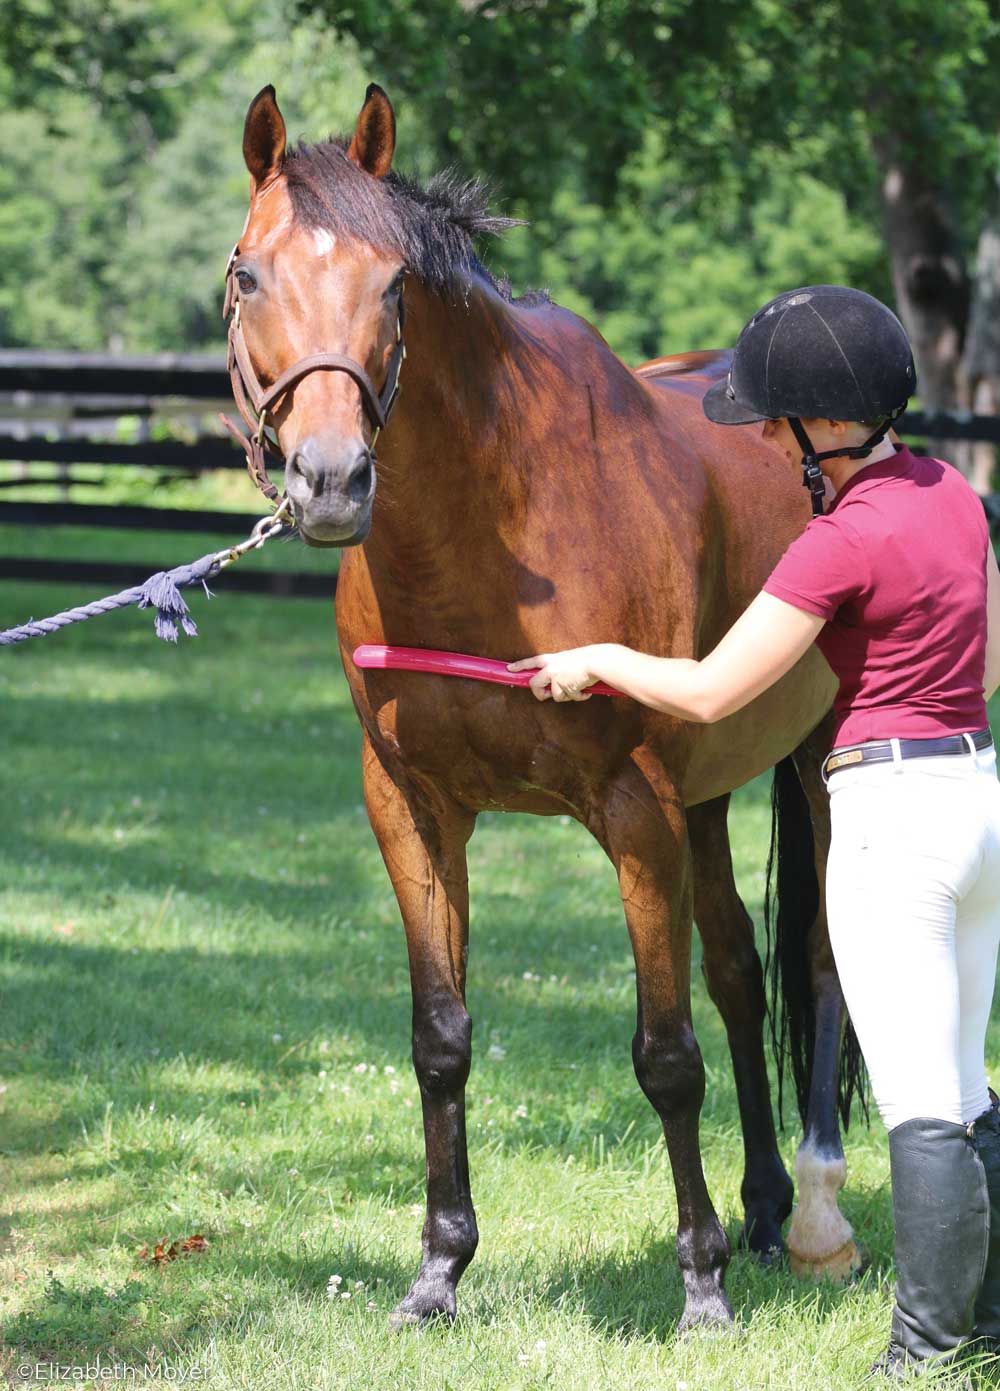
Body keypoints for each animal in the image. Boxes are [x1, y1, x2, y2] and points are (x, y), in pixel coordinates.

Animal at [222, 81, 862, 1329]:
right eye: (247, 275)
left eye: (394, 284)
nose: (330, 482)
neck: (490, 525)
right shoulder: (412, 807)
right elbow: (440, 1037)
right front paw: (438, 1268)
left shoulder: (633, 809)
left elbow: (664, 1053)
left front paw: (698, 1282)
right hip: (708, 800)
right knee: (738, 971)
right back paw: (765, 1210)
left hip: (815, 768)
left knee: (817, 969)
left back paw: (810, 1216)